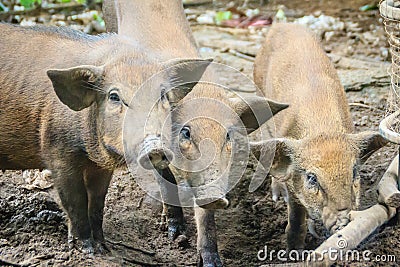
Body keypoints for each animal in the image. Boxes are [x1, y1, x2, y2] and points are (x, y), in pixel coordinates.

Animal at [0, 22, 212, 253]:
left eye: (163, 95)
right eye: (114, 96)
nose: (155, 147)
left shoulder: (100, 167)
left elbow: (97, 202)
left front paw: (103, 247)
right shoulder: (57, 152)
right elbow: (75, 201)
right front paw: (88, 250)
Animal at [101, 0, 286, 266]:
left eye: (228, 135)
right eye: (186, 133)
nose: (217, 196)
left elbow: (205, 217)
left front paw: (212, 262)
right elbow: (165, 180)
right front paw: (174, 233)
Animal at [252, 23, 386, 251]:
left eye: (354, 172)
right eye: (312, 178)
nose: (344, 222)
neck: (323, 129)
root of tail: (281, 24)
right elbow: (296, 217)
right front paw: (293, 251)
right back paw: (278, 197)